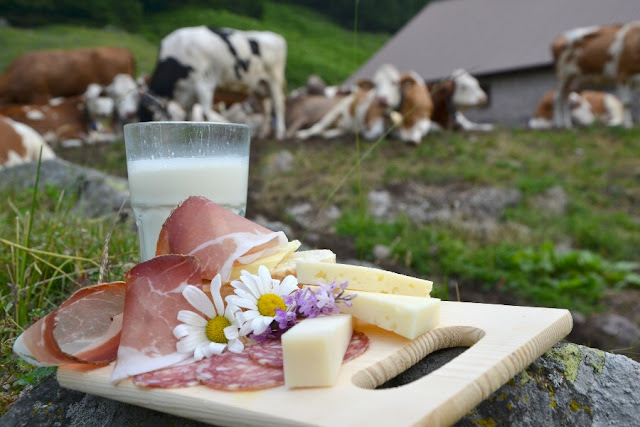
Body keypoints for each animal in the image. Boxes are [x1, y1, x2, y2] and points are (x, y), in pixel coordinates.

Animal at [142, 25, 290, 140]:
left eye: (154, 117)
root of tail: (275, 35)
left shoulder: (204, 84)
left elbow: (206, 113)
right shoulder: (189, 92)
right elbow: (189, 116)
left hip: (274, 78)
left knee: (278, 104)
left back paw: (280, 134)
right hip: (260, 85)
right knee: (267, 109)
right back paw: (263, 134)